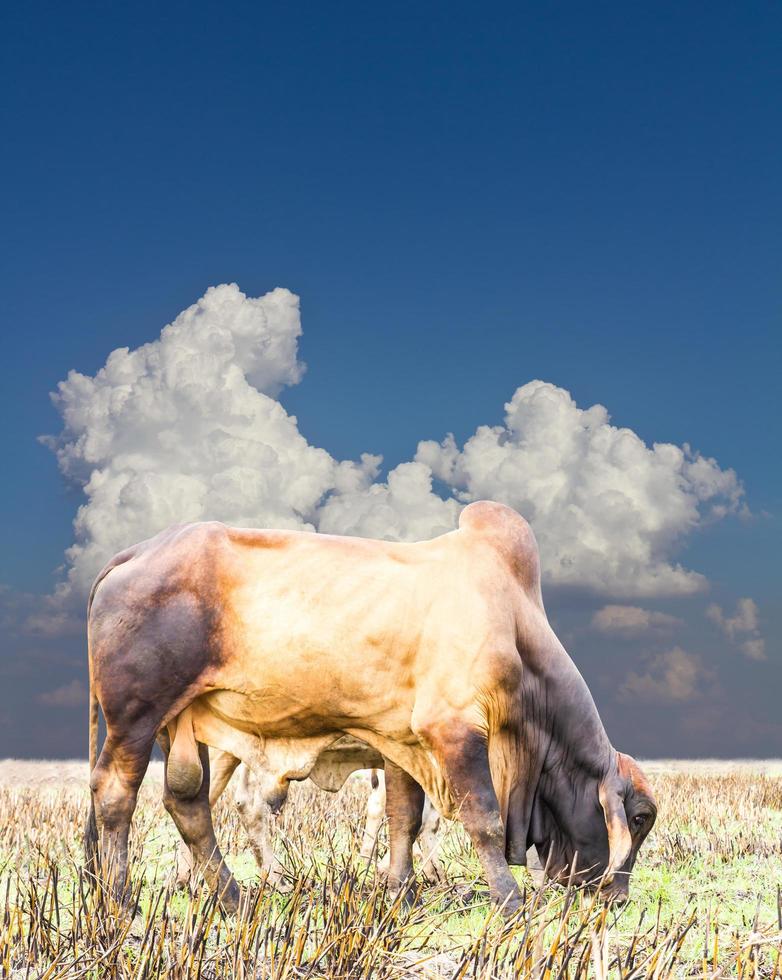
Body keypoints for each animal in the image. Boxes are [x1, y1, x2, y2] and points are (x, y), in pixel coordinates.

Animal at [86, 502, 660, 916]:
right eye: (639, 816)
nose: (618, 898)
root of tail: (134, 553)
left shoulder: (402, 742)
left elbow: (404, 819)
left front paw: (400, 894)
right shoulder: (452, 730)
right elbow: (484, 820)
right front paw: (511, 902)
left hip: (181, 723)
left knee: (186, 801)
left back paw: (232, 900)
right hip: (137, 715)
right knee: (116, 794)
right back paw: (123, 904)